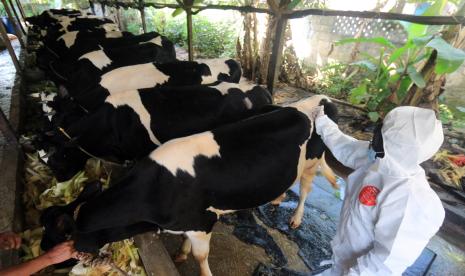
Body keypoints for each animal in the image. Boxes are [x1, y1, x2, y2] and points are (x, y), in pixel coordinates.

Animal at [40, 95, 338, 276]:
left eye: (58, 238)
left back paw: (296, 219)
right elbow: (185, 244)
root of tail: (319, 98)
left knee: (306, 188)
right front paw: (180, 253)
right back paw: (276, 198)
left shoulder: (202, 222)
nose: (42, 250)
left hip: (312, 162)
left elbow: (201, 256)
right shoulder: (186, 224)